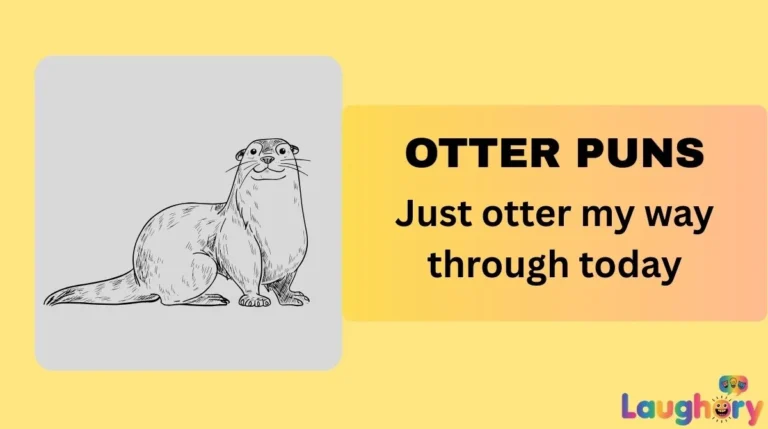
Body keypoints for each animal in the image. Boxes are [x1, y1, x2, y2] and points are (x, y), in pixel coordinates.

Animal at [43, 138, 309, 308]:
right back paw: (208, 299)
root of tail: (138, 275)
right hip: (200, 266)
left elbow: (285, 281)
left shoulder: (295, 251)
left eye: (282, 150)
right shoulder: (238, 242)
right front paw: (254, 298)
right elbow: (246, 272)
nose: (267, 157)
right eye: (253, 151)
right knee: (170, 299)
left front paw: (291, 297)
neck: (275, 228)